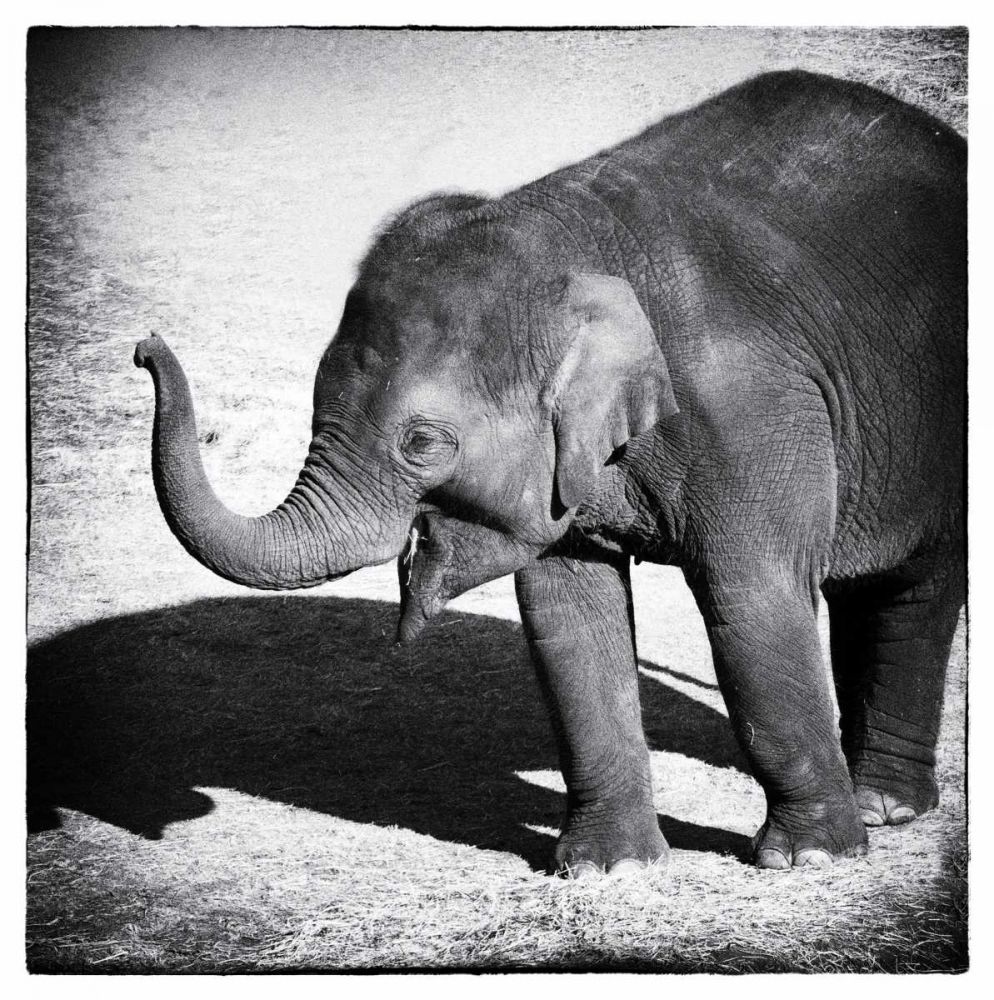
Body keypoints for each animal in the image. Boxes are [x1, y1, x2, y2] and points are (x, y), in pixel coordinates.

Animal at [135, 70, 965, 876]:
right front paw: (609, 871)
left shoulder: (753, 411)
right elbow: (568, 616)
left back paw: (881, 808)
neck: (572, 245)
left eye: (423, 443)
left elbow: (753, 598)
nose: (144, 347)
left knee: (918, 591)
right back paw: (877, 802)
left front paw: (808, 859)